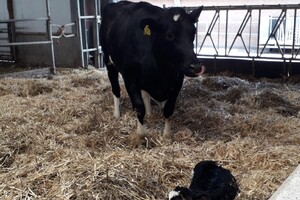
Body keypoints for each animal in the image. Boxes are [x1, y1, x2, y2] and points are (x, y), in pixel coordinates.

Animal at [99, 0, 205, 140]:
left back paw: (149, 113)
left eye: (193, 33)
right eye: (169, 35)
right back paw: (117, 114)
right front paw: (141, 135)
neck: (161, 71)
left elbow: (168, 109)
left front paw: (166, 135)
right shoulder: (130, 79)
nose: (196, 66)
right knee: (115, 89)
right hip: (108, 60)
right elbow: (139, 107)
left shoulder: (177, 80)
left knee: (145, 94)